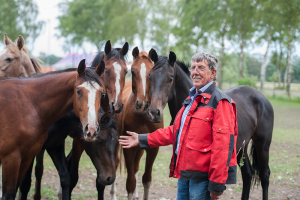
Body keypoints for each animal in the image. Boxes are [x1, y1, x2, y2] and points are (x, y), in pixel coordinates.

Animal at [0, 59, 105, 200]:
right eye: (78, 91)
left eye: (101, 93)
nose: (92, 130)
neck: (28, 105)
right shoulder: (11, 159)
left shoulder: (26, 158)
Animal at [109, 47, 163, 200]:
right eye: (132, 71)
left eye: (151, 74)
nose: (142, 104)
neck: (143, 117)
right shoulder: (128, 146)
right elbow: (130, 182)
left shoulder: (152, 148)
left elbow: (146, 179)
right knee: (117, 164)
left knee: (136, 167)